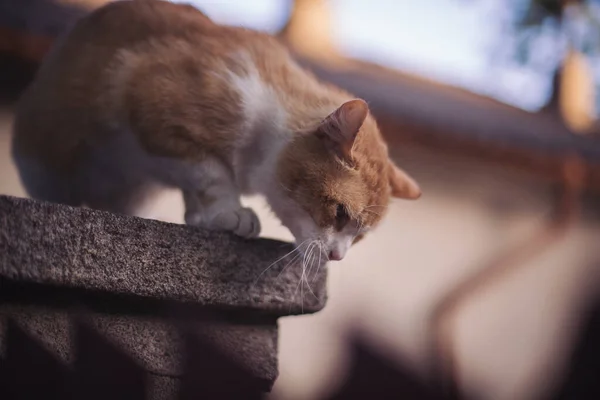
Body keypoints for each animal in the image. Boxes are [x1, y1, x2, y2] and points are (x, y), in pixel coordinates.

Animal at [10, 0, 422, 262]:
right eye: (339, 213)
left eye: (361, 236)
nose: (337, 256)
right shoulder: (155, 106)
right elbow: (211, 172)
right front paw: (230, 211)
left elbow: (197, 190)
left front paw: (206, 217)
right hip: (45, 163)